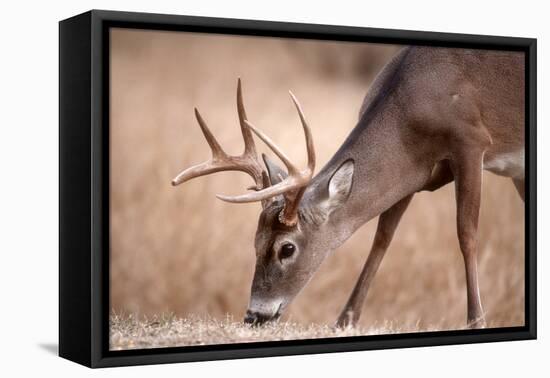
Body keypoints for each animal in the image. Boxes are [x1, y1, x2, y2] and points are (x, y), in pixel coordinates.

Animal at [172, 46, 528, 330]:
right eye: (255, 242)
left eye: (286, 248)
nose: (254, 315)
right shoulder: (412, 174)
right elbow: (382, 239)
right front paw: (345, 319)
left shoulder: (471, 142)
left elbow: (466, 233)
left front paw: (476, 318)